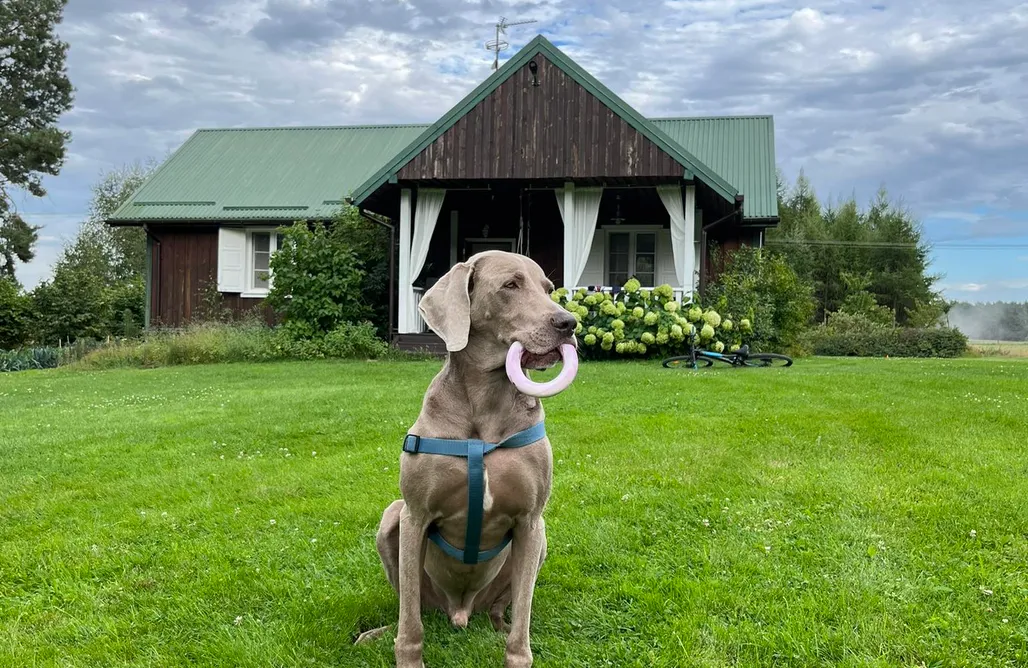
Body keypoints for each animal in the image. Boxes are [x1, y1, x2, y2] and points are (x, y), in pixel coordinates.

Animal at [363, 250, 579, 665]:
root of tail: (461, 611)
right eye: (510, 285)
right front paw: (408, 657)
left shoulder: (531, 521)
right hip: (391, 519)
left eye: (548, 289)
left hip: (539, 543)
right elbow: (410, 622)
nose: (569, 322)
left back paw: (497, 627)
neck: (484, 403)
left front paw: (518, 654)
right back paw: (375, 634)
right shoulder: (415, 516)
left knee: (503, 609)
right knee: (412, 606)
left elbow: (523, 621)